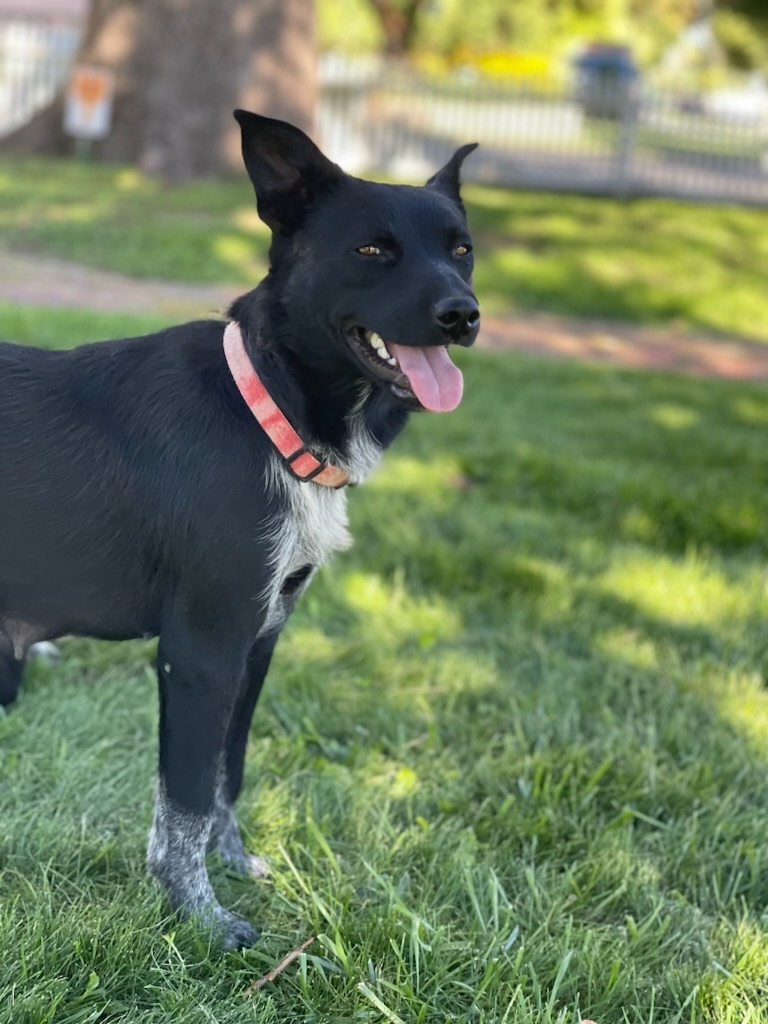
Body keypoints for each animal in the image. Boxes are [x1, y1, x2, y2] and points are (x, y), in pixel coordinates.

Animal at [0, 114, 481, 950]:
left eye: (462, 249)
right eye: (371, 250)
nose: (463, 314)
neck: (267, 407)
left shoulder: (261, 636)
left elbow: (229, 772)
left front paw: (228, 866)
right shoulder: (202, 649)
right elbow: (188, 796)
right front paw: (197, 915)